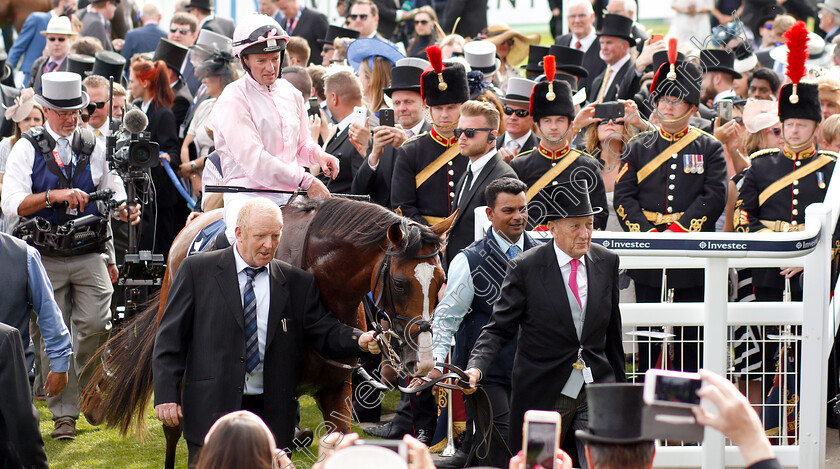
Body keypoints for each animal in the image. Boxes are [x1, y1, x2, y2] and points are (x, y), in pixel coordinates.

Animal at [83, 196, 452, 466]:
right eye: (401, 284)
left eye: (440, 282)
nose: (422, 360)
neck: (322, 283)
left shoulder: (336, 390)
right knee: (175, 428)